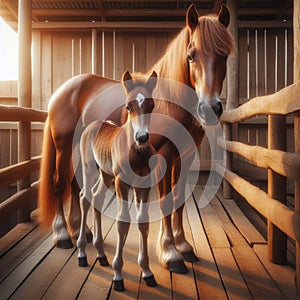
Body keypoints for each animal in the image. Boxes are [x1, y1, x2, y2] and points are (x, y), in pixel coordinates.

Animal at [76, 69, 158, 290]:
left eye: (152, 105)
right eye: (128, 106)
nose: (142, 138)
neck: (137, 153)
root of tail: (93, 124)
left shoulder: (143, 187)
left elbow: (143, 222)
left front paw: (147, 271)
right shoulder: (122, 184)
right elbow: (123, 222)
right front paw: (118, 274)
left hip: (105, 174)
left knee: (97, 197)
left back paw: (101, 254)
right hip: (89, 169)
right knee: (84, 197)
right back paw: (82, 253)